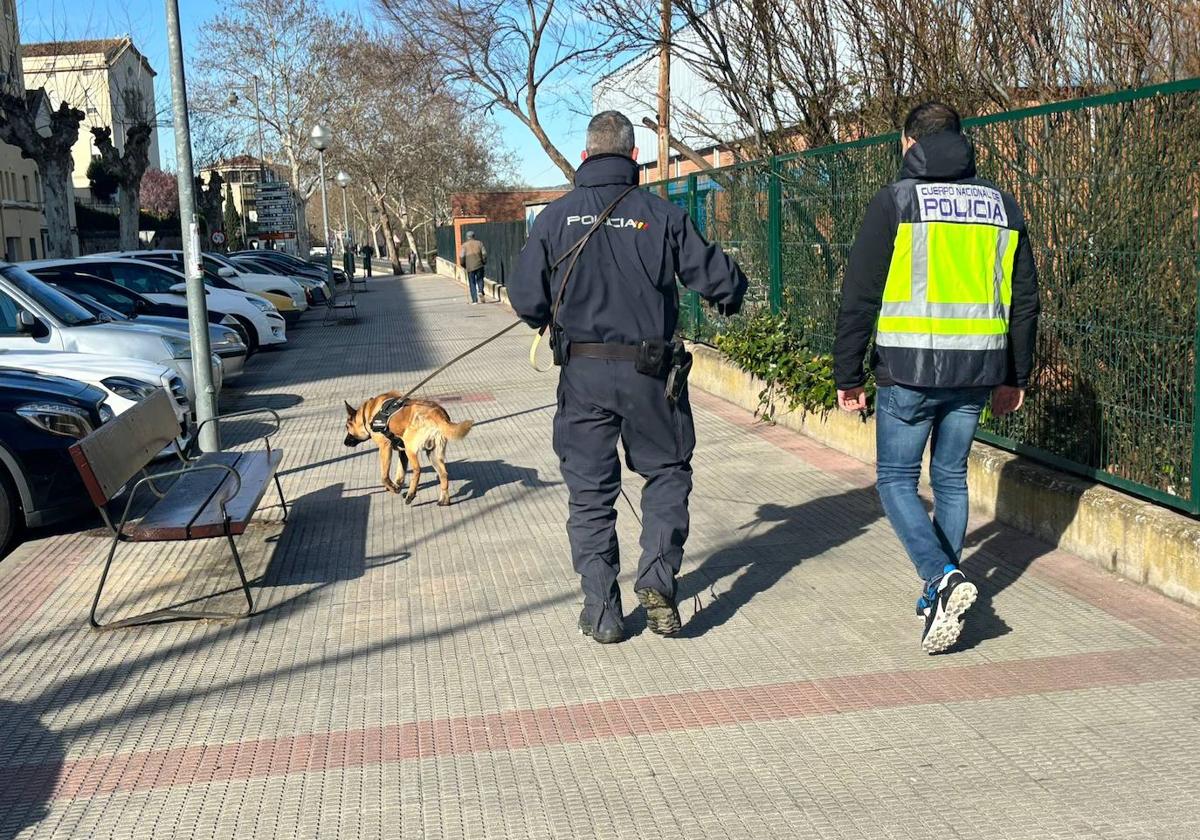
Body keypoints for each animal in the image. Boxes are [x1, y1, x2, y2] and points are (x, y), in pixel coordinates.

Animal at [343, 393, 472, 506]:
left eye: (347, 428)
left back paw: (411, 494)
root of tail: (437, 413)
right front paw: (396, 485)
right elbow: (400, 472)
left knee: (417, 470)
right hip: (433, 454)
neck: (368, 414)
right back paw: (444, 500)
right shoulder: (402, 451)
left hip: (411, 449)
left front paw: (393, 488)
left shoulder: (385, 447)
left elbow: (384, 476)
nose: (344, 443)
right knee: (443, 474)